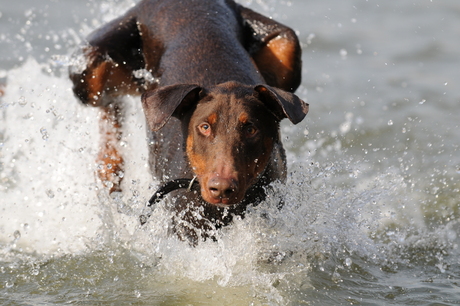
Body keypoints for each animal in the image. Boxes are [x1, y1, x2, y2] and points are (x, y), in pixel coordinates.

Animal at [69, 0, 310, 244]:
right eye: (204, 127)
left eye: (251, 129)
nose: (221, 188)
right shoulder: (185, 227)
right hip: (91, 65)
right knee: (107, 104)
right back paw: (109, 168)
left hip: (286, 44)